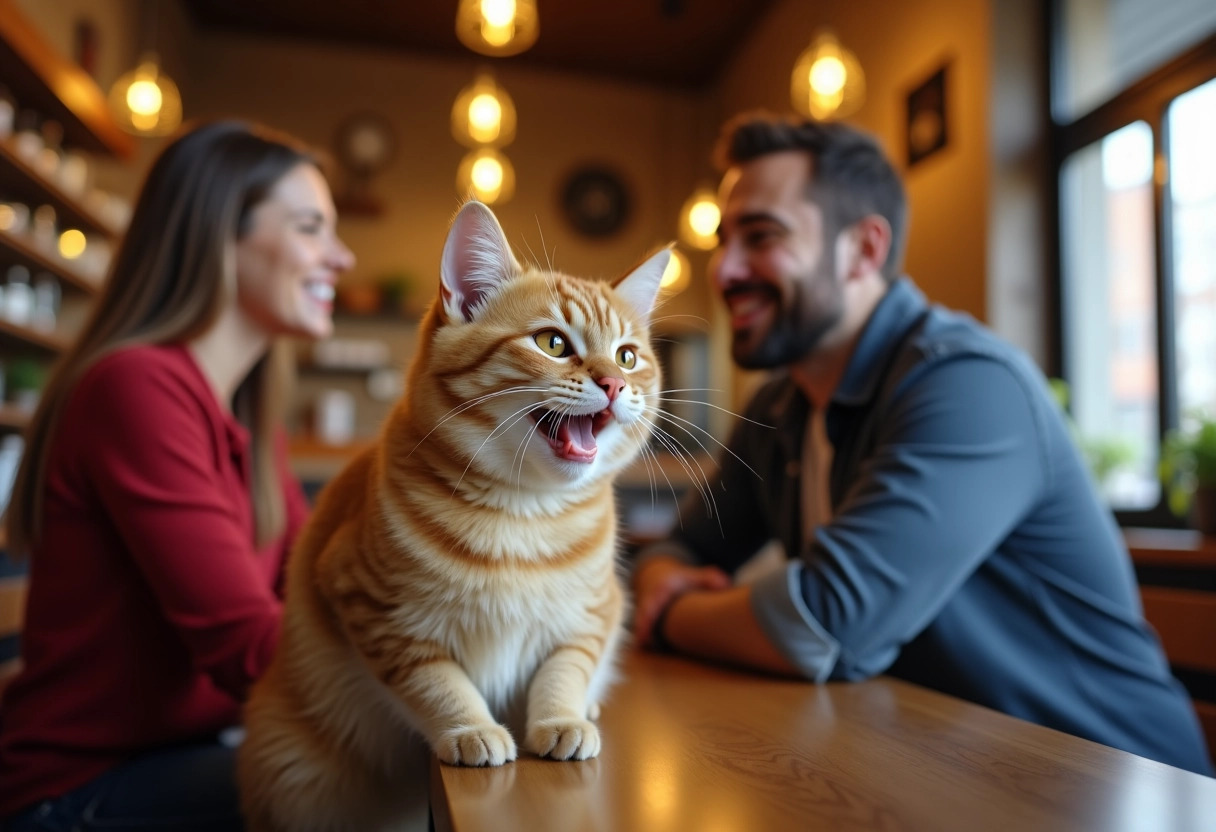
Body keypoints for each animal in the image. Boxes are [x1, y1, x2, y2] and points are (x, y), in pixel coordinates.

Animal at [234, 203, 676, 832]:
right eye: (552, 342)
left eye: (627, 357)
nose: (614, 384)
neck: (525, 512)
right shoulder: (375, 611)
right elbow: (436, 681)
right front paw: (471, 728)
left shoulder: (592, 614)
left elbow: (564, 670)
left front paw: (561, 717)